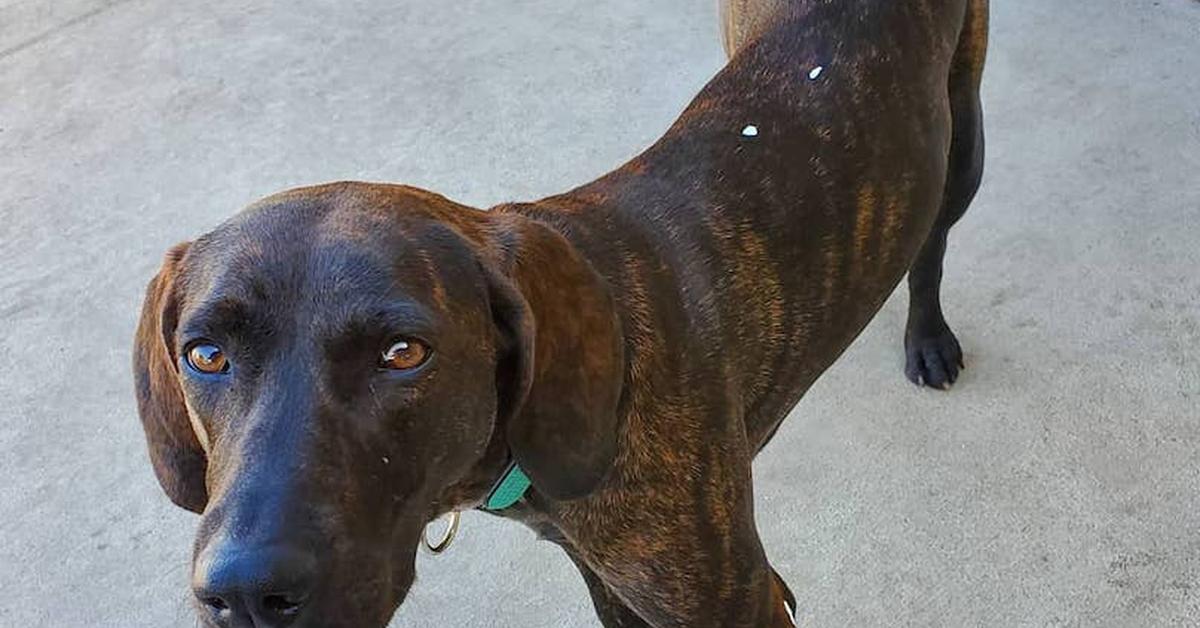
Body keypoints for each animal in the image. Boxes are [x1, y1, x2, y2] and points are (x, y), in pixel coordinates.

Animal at [136, 0, 988, 624]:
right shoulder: (600, 571)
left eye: (403, 353)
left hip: (962, 141)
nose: (244, 591)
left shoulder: (739, 600)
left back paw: (928, 338)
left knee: (933, 243)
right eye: (205, 354)